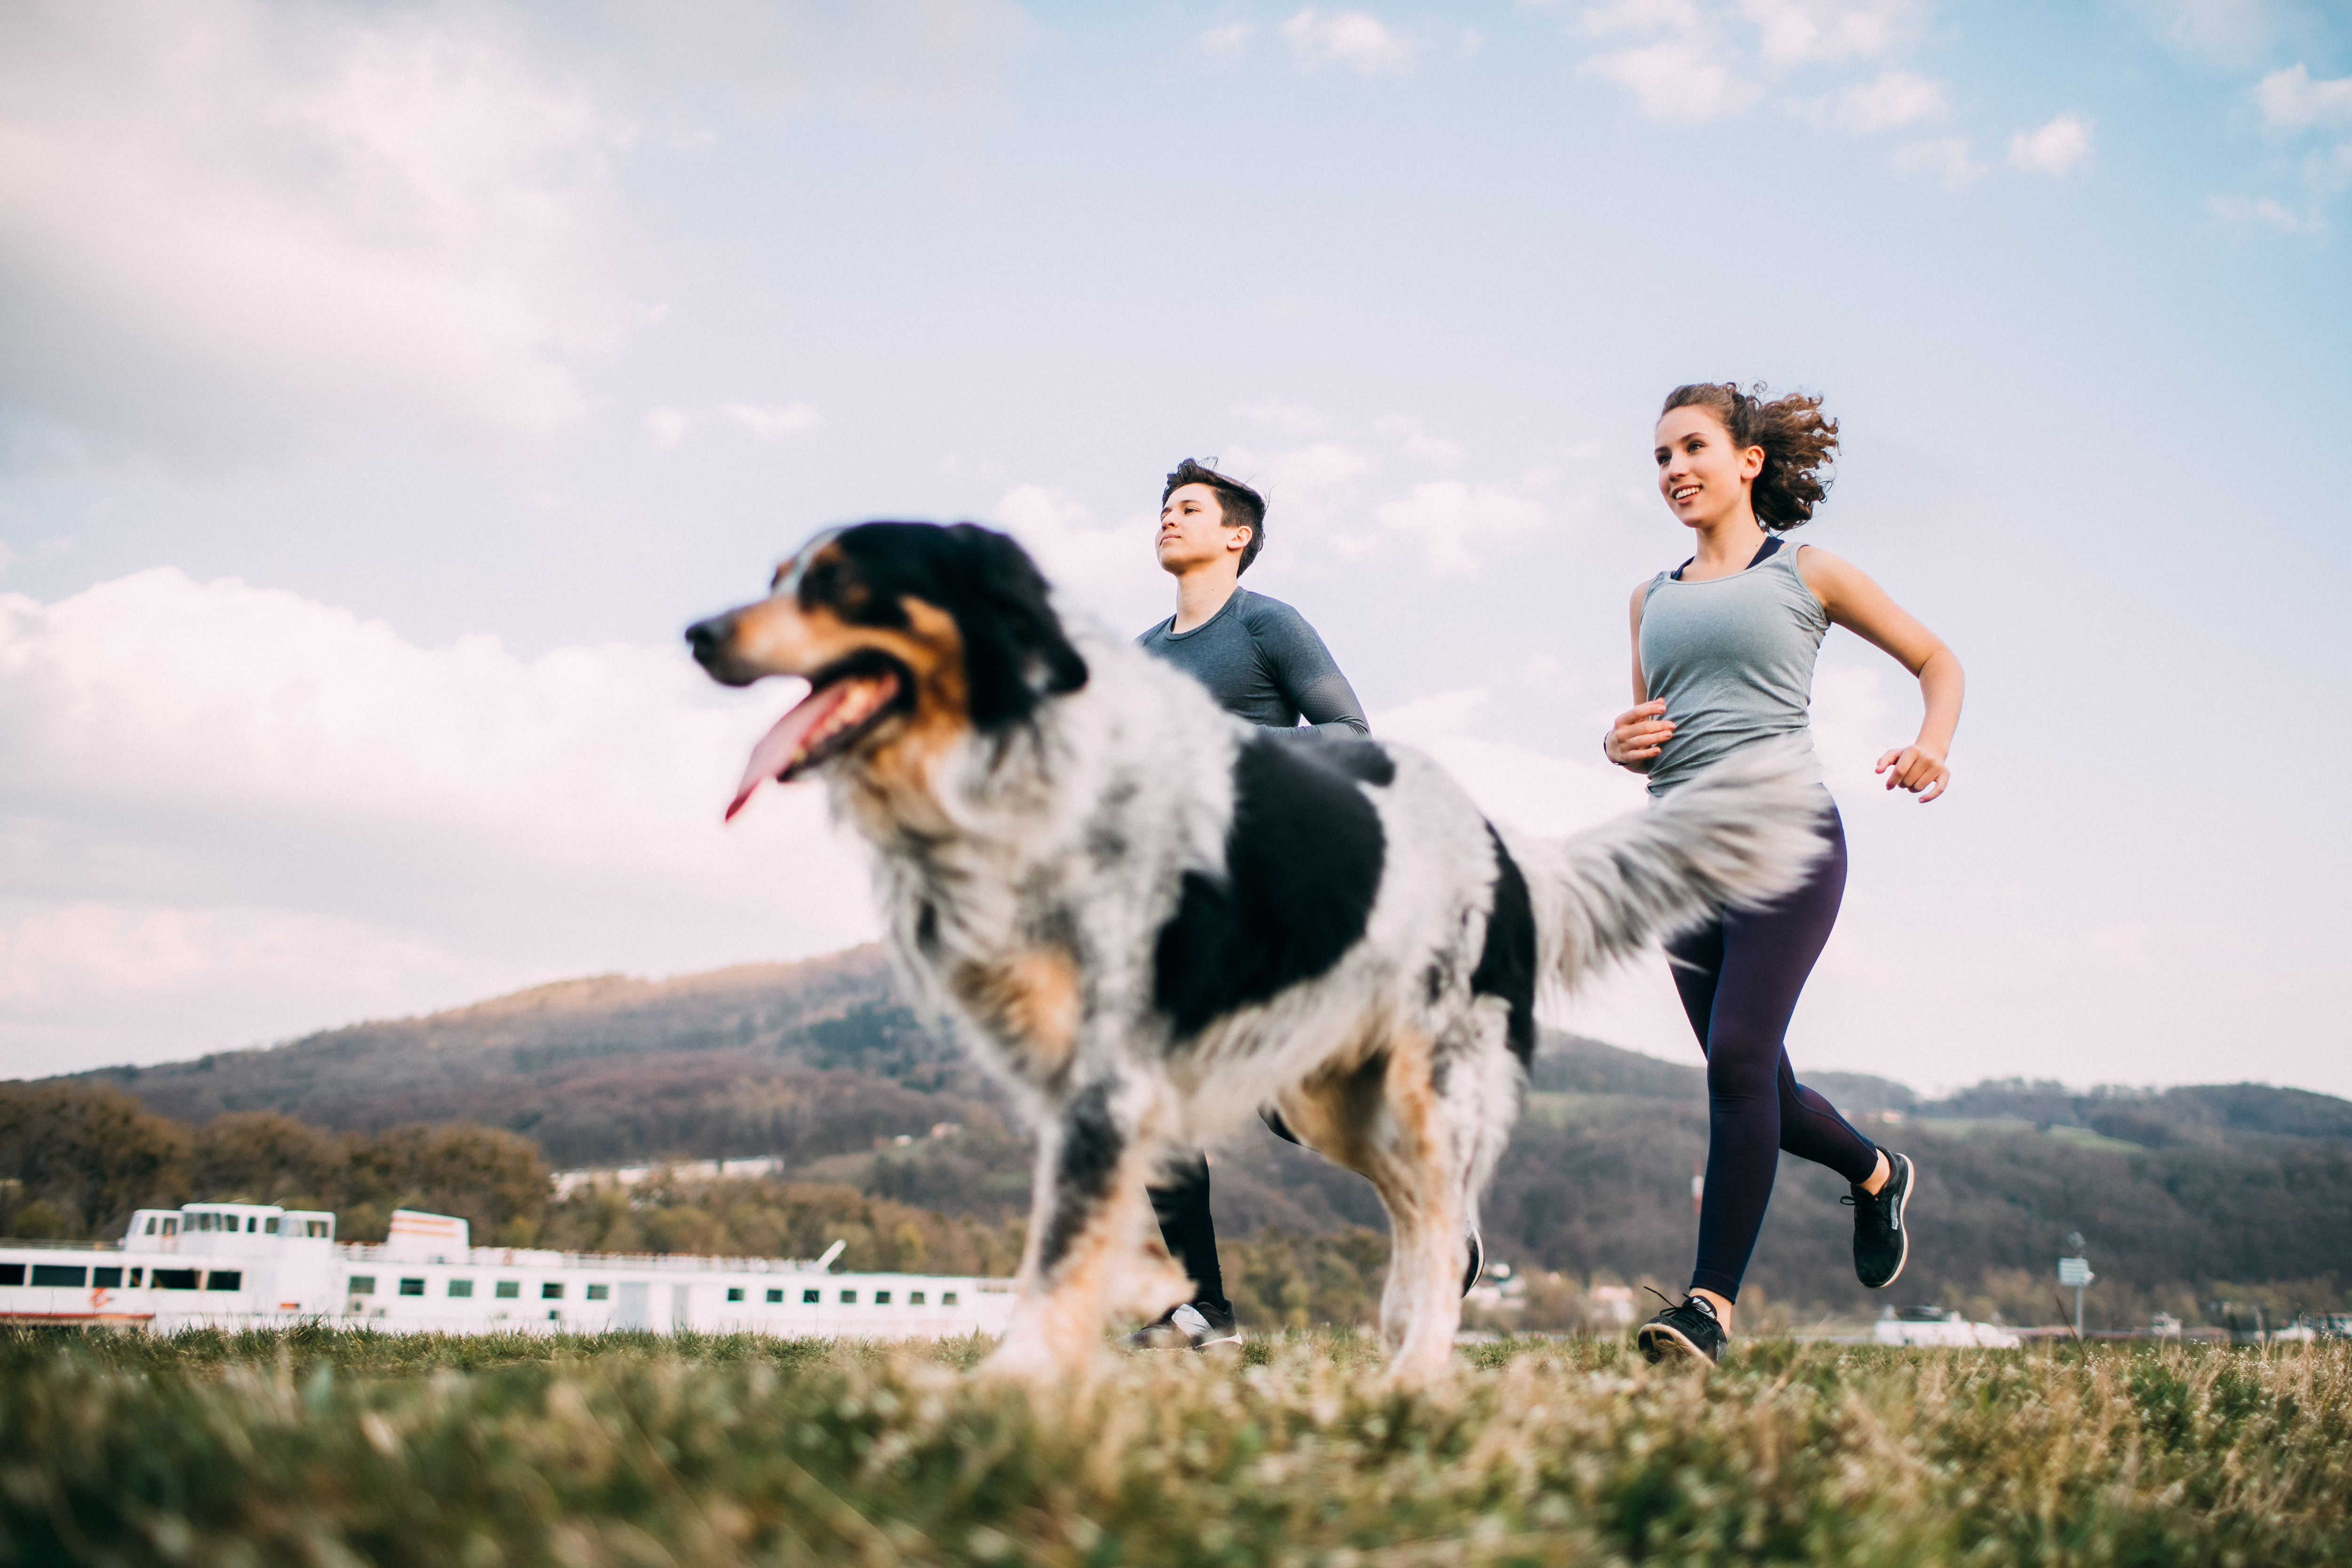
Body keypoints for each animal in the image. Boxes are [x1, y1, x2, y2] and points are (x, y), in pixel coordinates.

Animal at [687, 526, 1825, 1382]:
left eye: (840, 580)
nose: (698, 630)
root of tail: (1509, 851)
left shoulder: (1117, 1066)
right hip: (1327, 1090)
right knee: (1417, 1211)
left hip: (1425, 1073)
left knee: (1446, 1207)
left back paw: (1425, 1353)